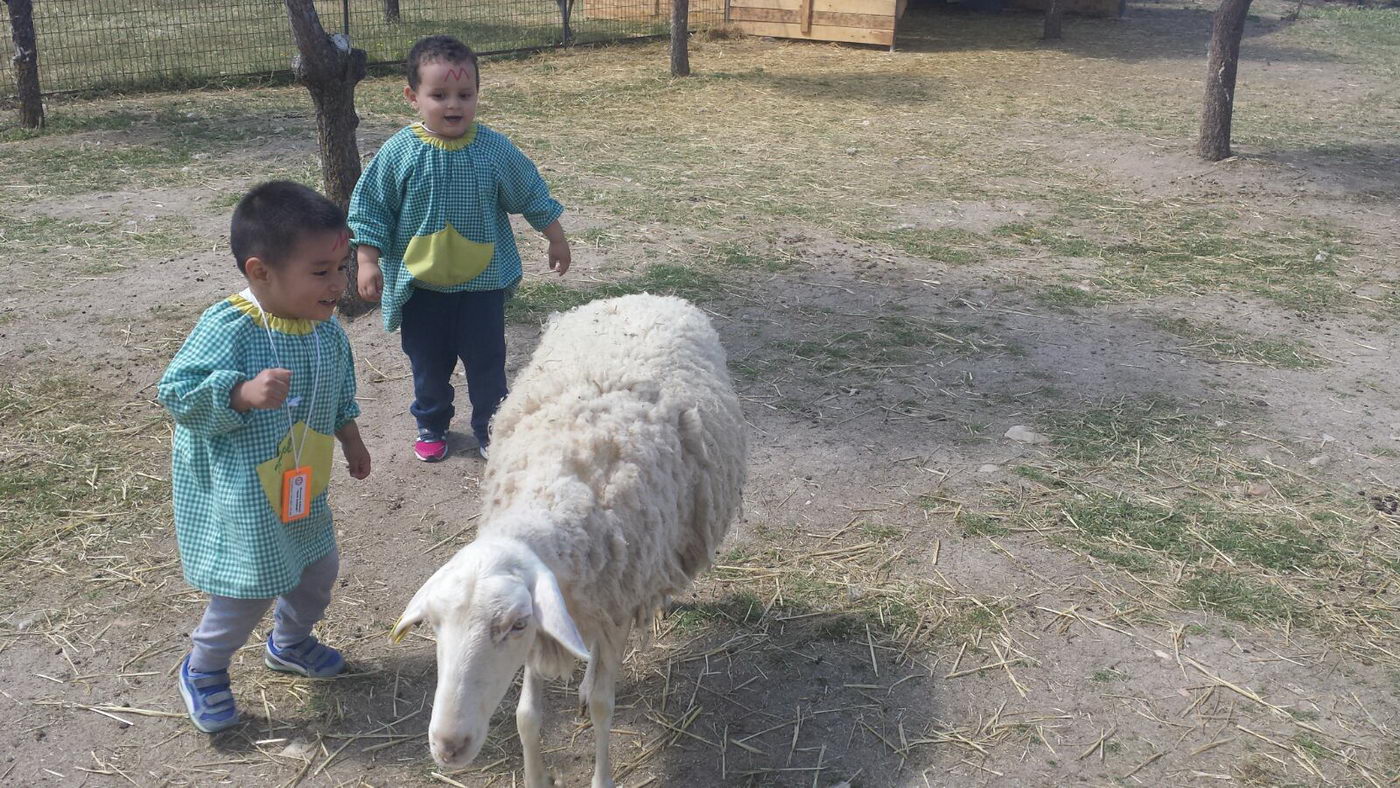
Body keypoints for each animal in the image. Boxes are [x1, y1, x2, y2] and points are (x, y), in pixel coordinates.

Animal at [389, 292, 750, 783]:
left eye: (515, 624)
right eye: (434, 623)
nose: (448, 746)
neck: (555, 488)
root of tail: (643, 295)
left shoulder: (611, 609)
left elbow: (602, 704)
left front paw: (602, 778)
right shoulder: (557, 612)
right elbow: (527, 717)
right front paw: (534, 777)